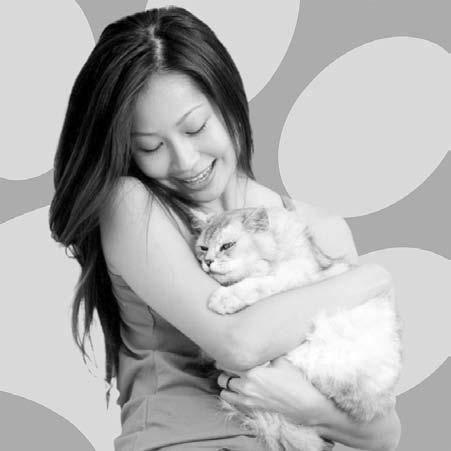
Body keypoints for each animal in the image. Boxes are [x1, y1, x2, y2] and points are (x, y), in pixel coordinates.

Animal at [190, 203, 402, 451]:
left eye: (227, 246)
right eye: (203, 248)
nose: (208, 262)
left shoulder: (291, 278)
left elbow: (257, 284)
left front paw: (223, 299)